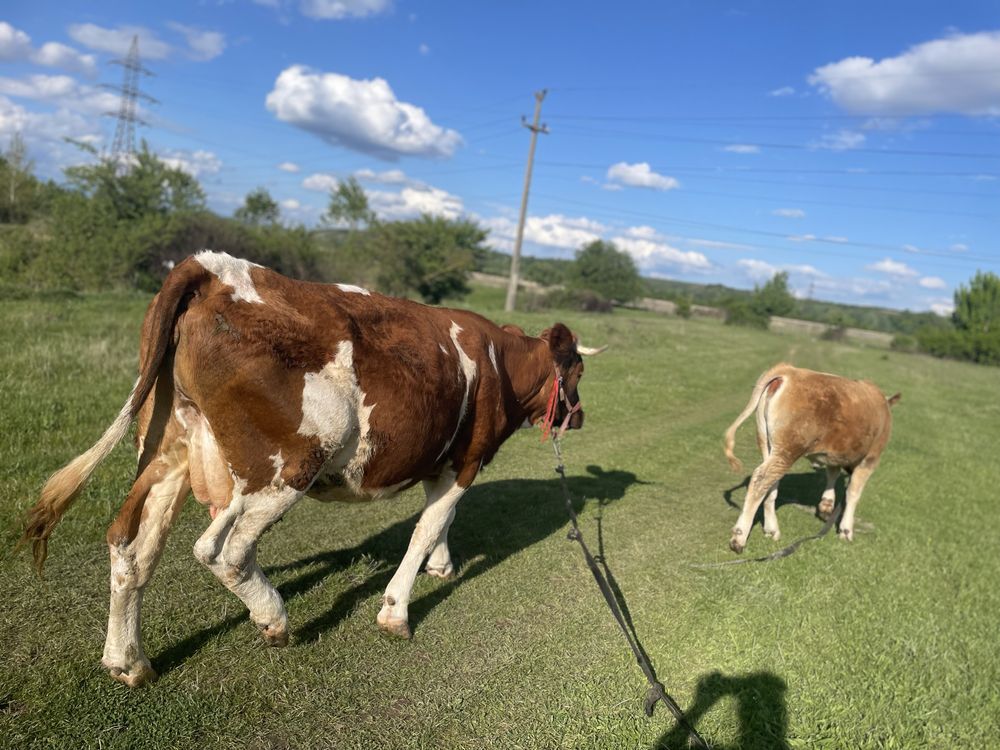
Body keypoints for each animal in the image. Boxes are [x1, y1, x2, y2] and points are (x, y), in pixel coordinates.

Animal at [21, 251, 600, 688]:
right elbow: (428, 526)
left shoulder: (442, 463)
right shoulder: (468, 459)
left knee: (131, 549)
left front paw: (441, 564)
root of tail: (212, 268)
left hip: (170, 451)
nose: (579, 416)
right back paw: (272, 617)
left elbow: (440, 521)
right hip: (290, 463)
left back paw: (128, 661)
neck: (499, 362)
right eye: (577, 369)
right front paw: (397, 611)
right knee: (222, 550)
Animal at [720, 368, 900, 556]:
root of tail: (790, 371)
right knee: (761, 479)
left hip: (768, 444)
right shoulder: (871, 458)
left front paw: (826, 505)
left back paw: (771, 529)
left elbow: (832, 473)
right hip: (788, 448)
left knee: (770, 484)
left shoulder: (834, 454)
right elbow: (853, 493)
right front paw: (846, 530)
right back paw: (739, 538)